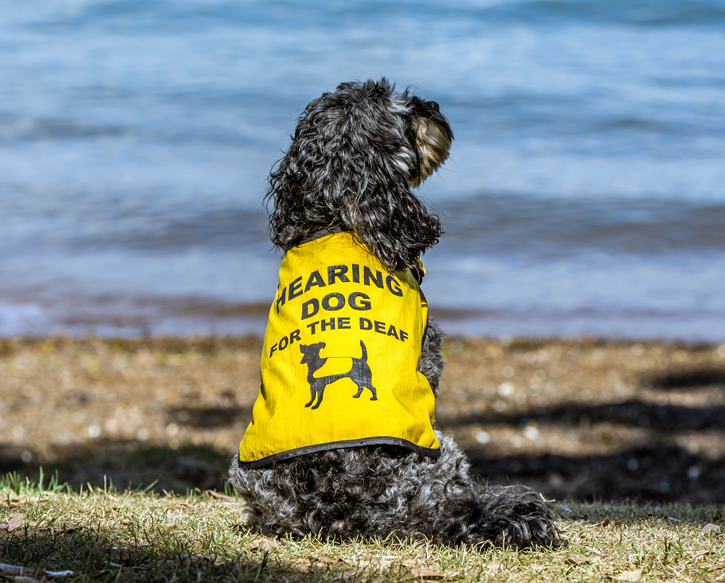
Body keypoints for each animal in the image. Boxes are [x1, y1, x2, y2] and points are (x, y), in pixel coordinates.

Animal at [229, 77, 556, 548]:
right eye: (399, 110)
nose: (433, 105)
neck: (341, 217)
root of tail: (343, 508)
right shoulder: (429, 356)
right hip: (444, 452)